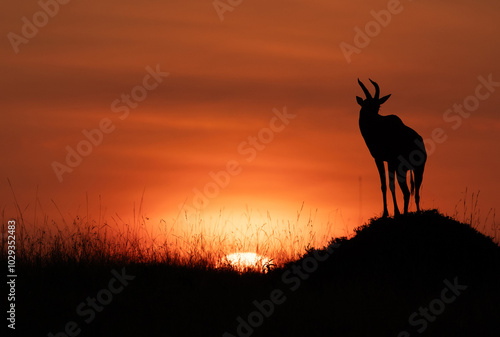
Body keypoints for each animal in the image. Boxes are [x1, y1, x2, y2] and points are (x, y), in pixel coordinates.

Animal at [356, 78, 426, 215]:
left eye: (378, 106)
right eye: (366, 105)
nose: (373, 120)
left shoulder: (391, 160)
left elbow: (391, 184)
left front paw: (395, 212)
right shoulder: (379, 159)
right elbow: (383, 185)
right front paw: (385, 213)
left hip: (417, 169)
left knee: (413, 193)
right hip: (406, 169)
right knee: (410, 192)